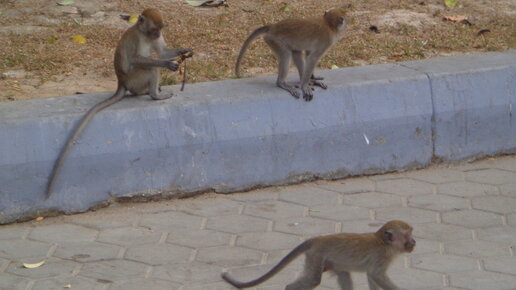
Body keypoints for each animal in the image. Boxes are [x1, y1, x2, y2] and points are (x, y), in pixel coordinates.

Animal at [43, 8, 194, 199]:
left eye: (161, 28)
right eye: (154, 29)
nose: (158, 34)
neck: (143, 33)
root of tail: (121, 82)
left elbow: (163, 51)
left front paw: (185, 50)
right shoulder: (137, 39)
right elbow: (139, 59)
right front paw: (167, 64)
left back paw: (146, 92)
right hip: (134, 79)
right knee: (150, 68)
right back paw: (155, 95)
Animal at [222, 221, 416, 288]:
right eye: (408, 235)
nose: (414, 242)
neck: (384, 243)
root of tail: (317, 239)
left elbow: (371, 276)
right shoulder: (381, 256)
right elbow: (376, 275)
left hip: (329, 261)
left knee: (344, 275)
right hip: (316, 256)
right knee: (314, 279)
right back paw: (289, 288)